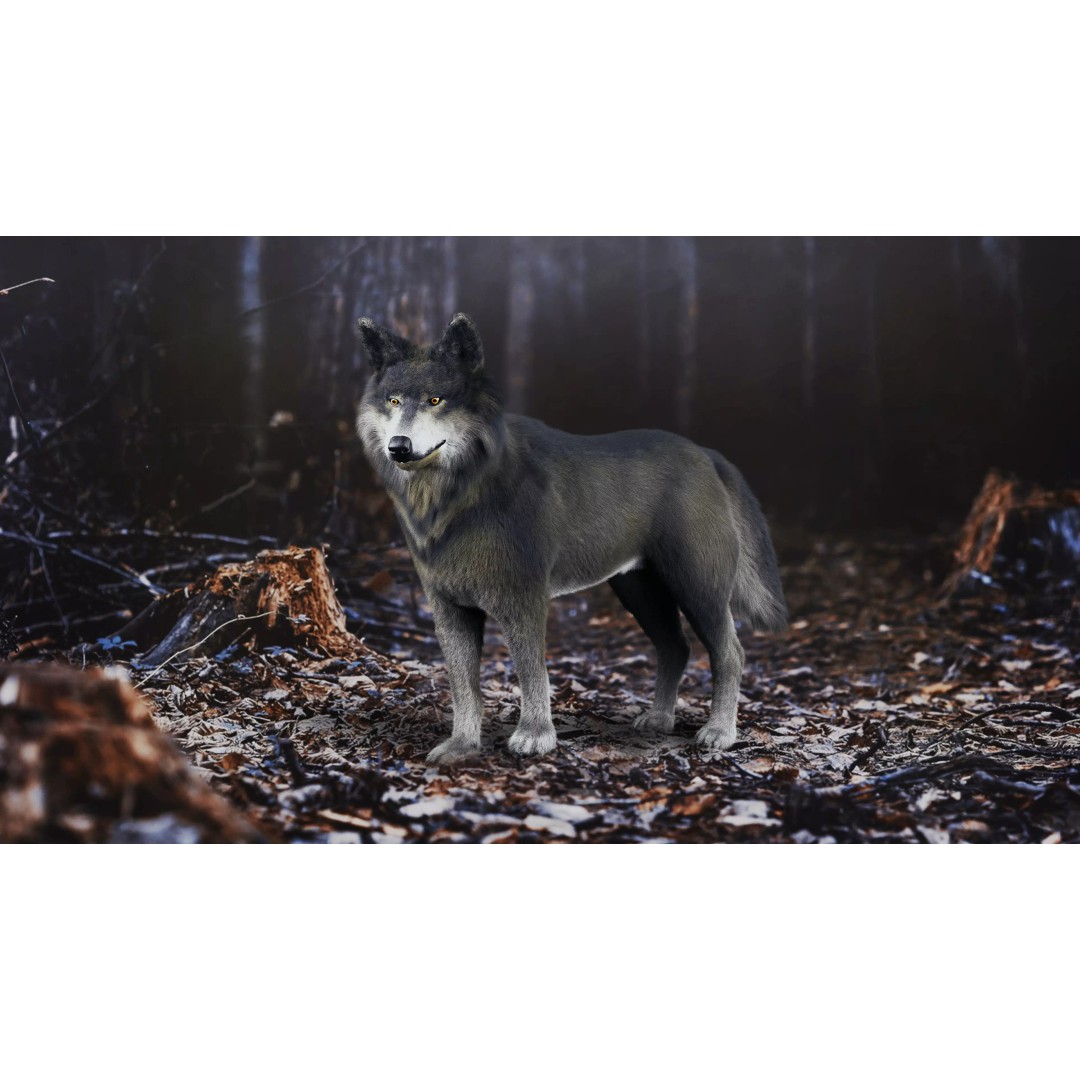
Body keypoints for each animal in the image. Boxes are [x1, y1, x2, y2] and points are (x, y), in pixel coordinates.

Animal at [356, 313, 788, 763]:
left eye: (435, 401)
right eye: (393, 401)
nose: (398, 447)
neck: (455, 499)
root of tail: (708, 455)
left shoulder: (523, 600)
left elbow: (532, 672)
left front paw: (534, 737)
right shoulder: (449, 609)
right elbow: (464, 686)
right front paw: (462, 746)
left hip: (697, 588)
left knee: (731, 654)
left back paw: (719, 732)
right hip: (640, 592)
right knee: (676, 648)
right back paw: (659, 720)